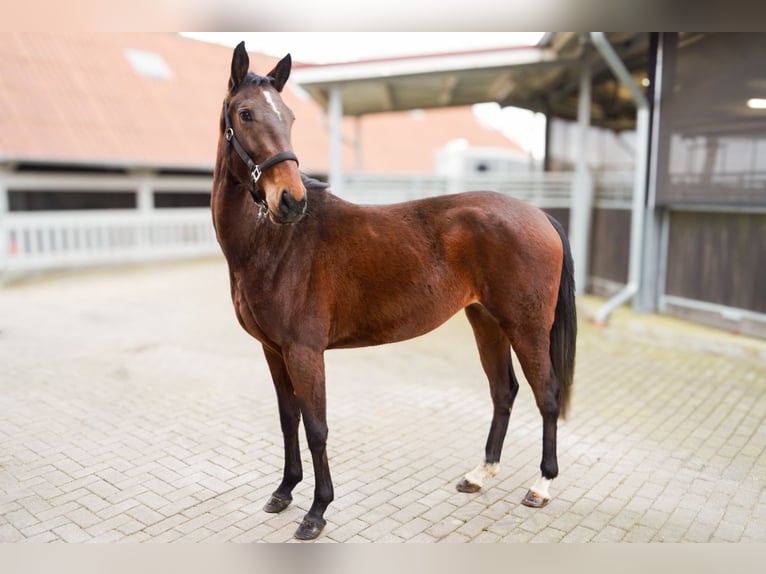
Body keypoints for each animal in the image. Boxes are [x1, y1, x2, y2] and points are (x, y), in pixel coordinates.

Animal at [210, 42, 576, 544]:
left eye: (289, 117)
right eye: (245, 113)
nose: (291, 200)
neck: (275, 243)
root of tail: (541, 215)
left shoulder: (304, 351)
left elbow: (317, 427)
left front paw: (317, 511)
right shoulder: (273, 349)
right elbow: (288, 420)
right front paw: (284, 492)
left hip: (526, 326)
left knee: (548, 394)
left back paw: (541, 485)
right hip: (487, 321)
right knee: (504, 392)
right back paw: (479, 475)